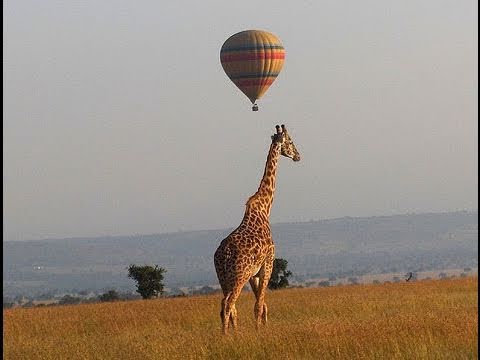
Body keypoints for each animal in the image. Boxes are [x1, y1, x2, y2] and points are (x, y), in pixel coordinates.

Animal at [214, 124, 300, 334]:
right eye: (291, 141)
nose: (298, 156)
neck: (264, 208)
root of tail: (223, 255)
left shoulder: (254, 272)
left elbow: (262, 305)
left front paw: (261, 328)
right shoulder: (268, 262)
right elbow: (259, 305)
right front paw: (259, 332)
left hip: (223, 277)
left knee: (227, 305)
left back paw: (232, 334)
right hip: (239, 275)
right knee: (228, 304)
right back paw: (225, 336)